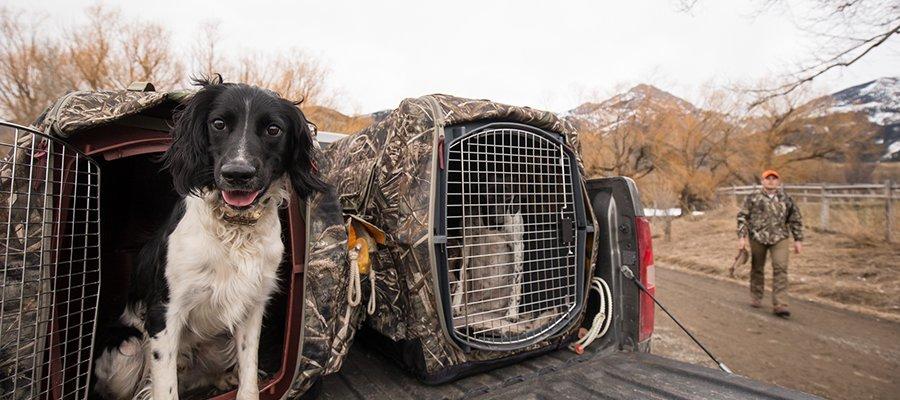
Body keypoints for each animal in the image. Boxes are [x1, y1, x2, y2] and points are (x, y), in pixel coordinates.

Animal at [94, 76, 326, 400]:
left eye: (273, 129)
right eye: (218, 124)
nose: (237, 173)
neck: (236, 229)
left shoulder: (253, 306)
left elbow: (249, 374)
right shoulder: (165, 313)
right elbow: (165, 389)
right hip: (127, 350)